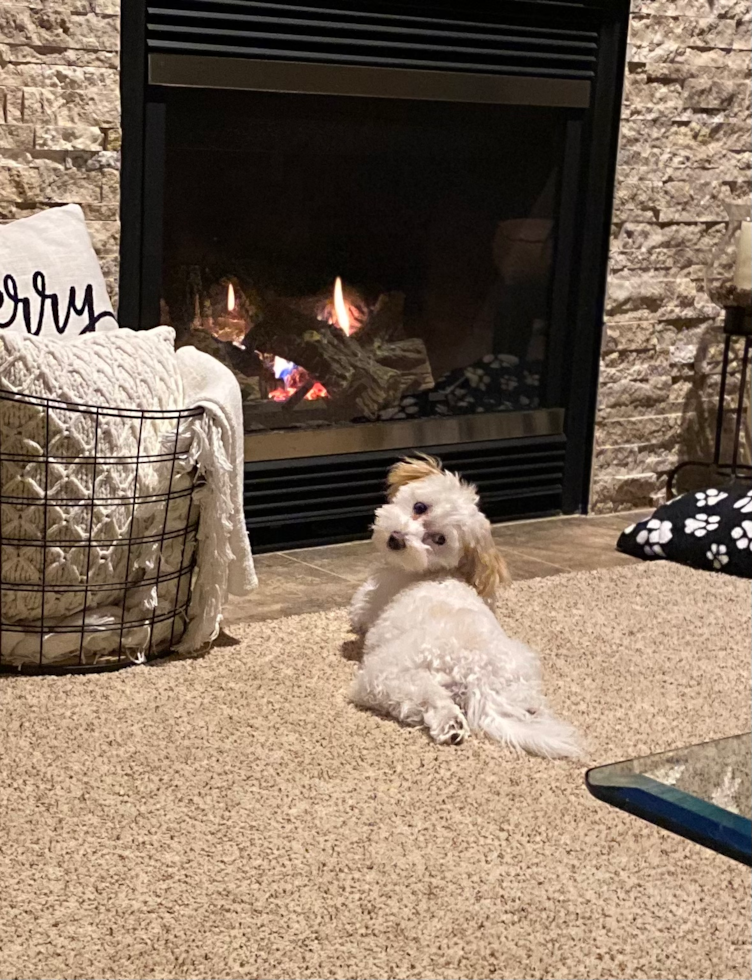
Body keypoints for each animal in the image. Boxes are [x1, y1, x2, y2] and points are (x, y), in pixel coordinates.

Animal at [348, 454, 580, 756]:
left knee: (426, 694)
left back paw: (449, 722)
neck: (437, 570)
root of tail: (478, 678)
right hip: (522, 671)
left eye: (439, 539)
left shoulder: (374, 594)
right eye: (419, 507)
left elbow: (357, 611)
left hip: (386, 672)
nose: (396, 539)